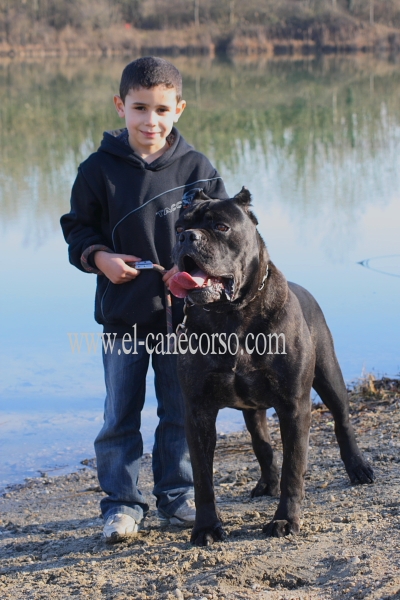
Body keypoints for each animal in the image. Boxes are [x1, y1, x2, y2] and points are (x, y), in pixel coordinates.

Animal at [170, 187, 374, 546]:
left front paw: (285, 520)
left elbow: (294, 468)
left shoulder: (294, 406)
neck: (231, 316)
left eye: (221, 227)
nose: (186, 238)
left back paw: (358, 467)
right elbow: (202, 477)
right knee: (261, 443)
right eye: (179, 227)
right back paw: (267, 482)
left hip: (329, 377)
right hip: (252, 409)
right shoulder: (198, 411)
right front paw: (206, 527)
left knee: (342, 422)